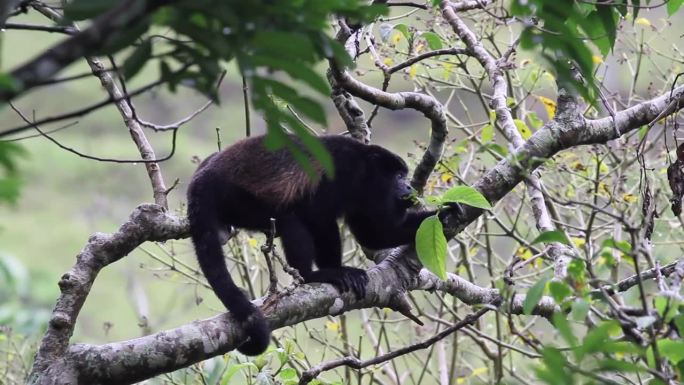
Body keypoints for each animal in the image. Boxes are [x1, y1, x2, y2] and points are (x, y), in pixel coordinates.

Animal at [187, 134, 454, 354]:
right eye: (398, 176)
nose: (409, 186)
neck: (366, 172)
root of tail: (203, 177)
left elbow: (374, 233)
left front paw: (448, 212)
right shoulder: (344, 173)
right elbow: (319, 216)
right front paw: (336, 271)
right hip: (238, 198)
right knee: (290, 220)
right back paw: (312, 275)